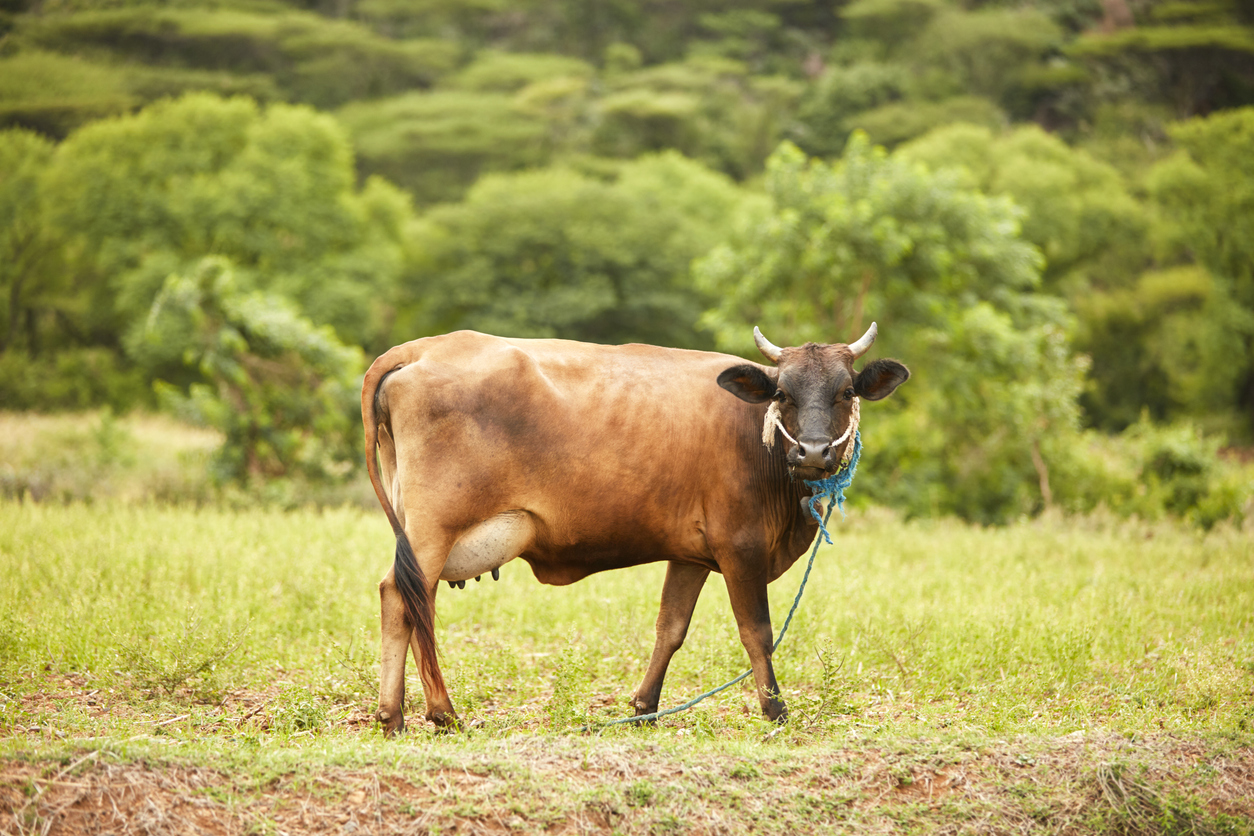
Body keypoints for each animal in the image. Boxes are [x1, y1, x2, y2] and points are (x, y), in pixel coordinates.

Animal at [361, 324, 909, 734]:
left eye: (846, 391)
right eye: (781, 393)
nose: (813, 451)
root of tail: (421, 347)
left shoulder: (689, 555)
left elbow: (671, 628)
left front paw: (645, 707)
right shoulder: (741, 548)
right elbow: (757, 632)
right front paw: (775, 709)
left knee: (406, 599)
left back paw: (397, 715)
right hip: (433, 530)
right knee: (406, 597)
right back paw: (436, 713)